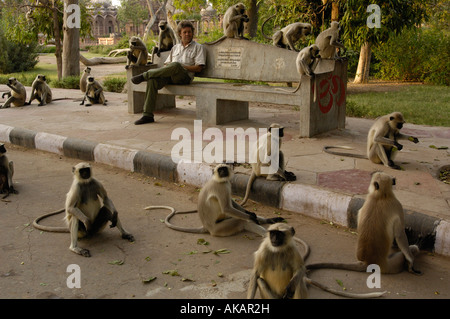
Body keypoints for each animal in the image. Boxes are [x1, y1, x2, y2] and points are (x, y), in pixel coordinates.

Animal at [248, 222, 384, 300]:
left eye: (279, 234)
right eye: (272, 234)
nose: (274, 239)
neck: (278, 250)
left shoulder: (293, 249)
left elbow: (300, 269)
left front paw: (291, 286)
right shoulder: (263, 250)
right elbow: (255, 275)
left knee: (298, 281)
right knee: (260, 280)